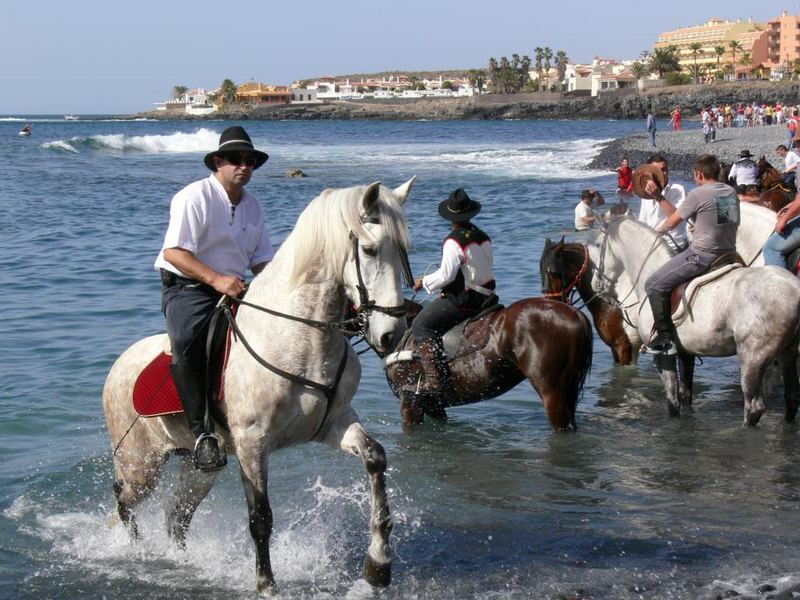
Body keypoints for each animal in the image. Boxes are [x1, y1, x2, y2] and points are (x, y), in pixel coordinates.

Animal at [103, 178, 416, 596]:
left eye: (403, 251)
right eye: (369, 249)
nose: (390, 335)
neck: (301, 336)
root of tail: (119, 364)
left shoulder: (335, 423)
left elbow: (375, 459)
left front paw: (378, 565)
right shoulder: (253, 443)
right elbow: (260, 517)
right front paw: (266, 584)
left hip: (198, 469)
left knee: (176, 515)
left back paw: (182, 561)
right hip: (142, 465)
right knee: (123, 499)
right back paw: (137, 551)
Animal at [592, 218, 800, 424]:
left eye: (597, 244)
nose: (596, 284)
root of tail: (794, 287)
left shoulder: (662, 355)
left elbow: (672, 400)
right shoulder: (686, 353)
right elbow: (685, 396)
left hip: (753, 357)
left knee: (754, 407)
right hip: (788, 351)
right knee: (791, 397)